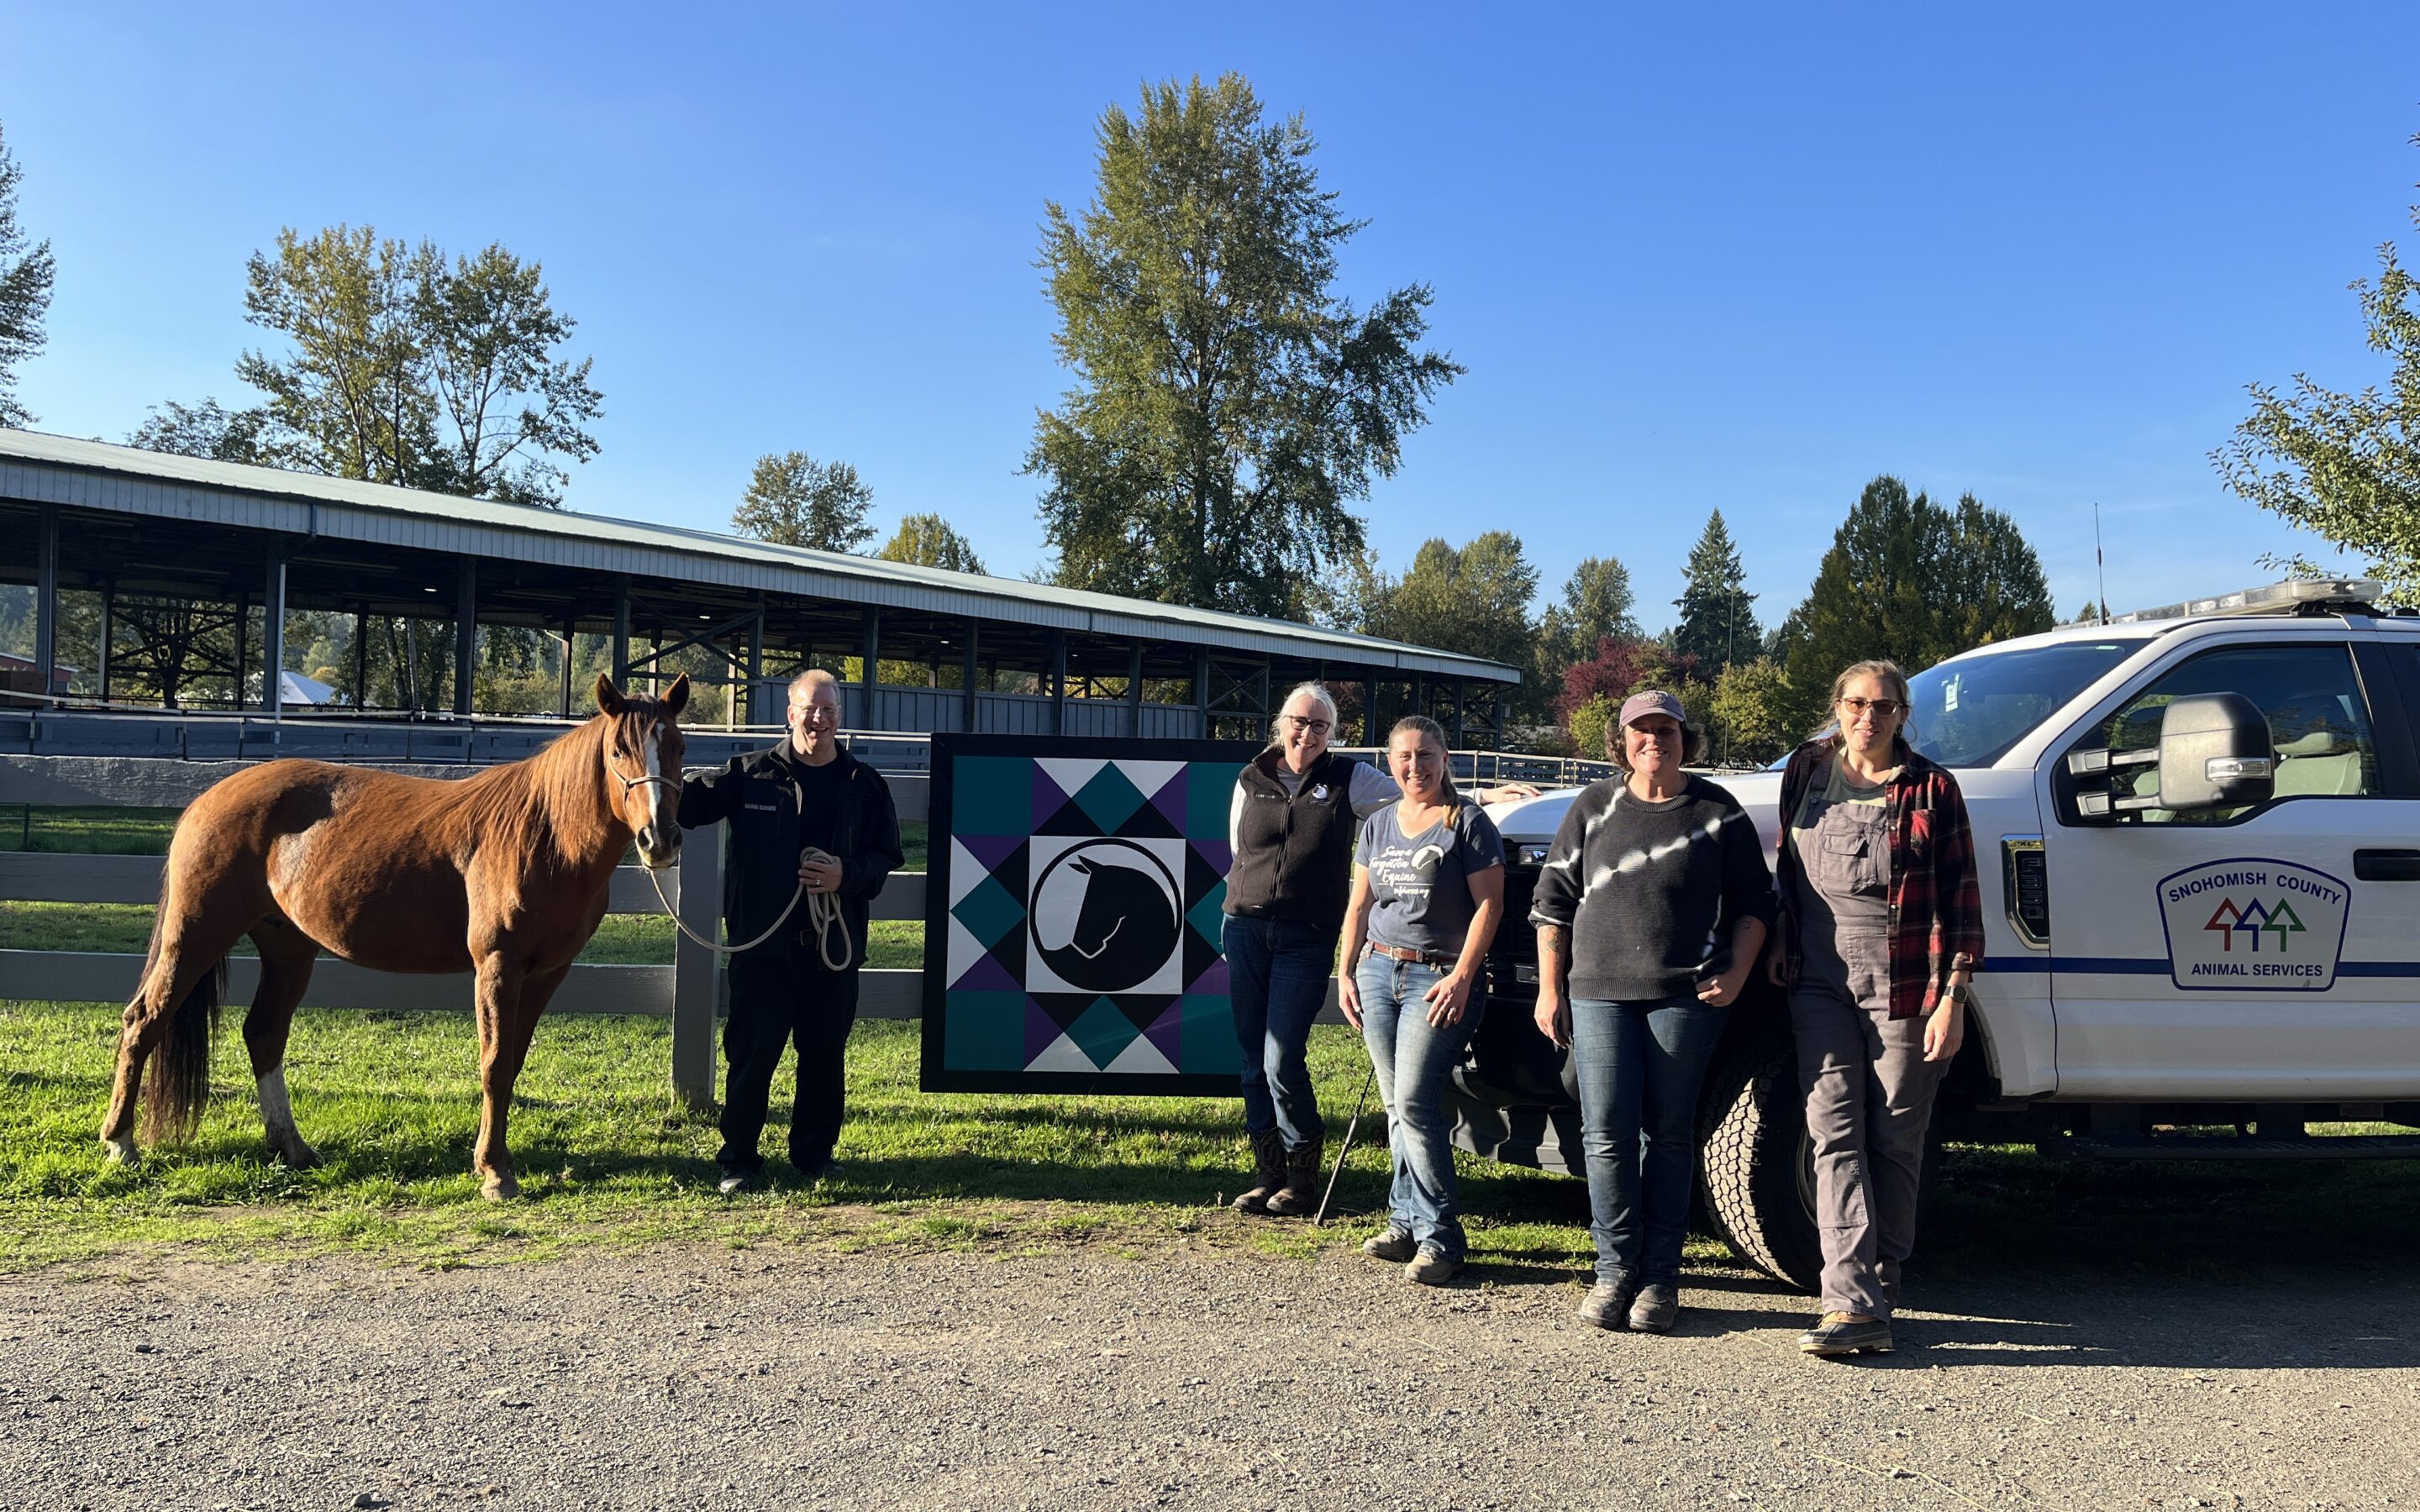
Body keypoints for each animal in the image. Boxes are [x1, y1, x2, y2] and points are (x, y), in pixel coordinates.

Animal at [103, 667, 692, 1189]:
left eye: (681, 748)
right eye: (617, 751)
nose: (659, 840)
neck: (544, 834)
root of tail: (208, 799)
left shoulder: (548, 972)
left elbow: (513, 1063)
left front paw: (496, 1161)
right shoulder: (497, 967)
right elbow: (494, 1064)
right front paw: (494, 1171)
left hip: (287, 948)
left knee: (264, 1033)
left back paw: (291, 1147)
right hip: (197, 932)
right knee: (144, 1020)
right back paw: (121, 1144)